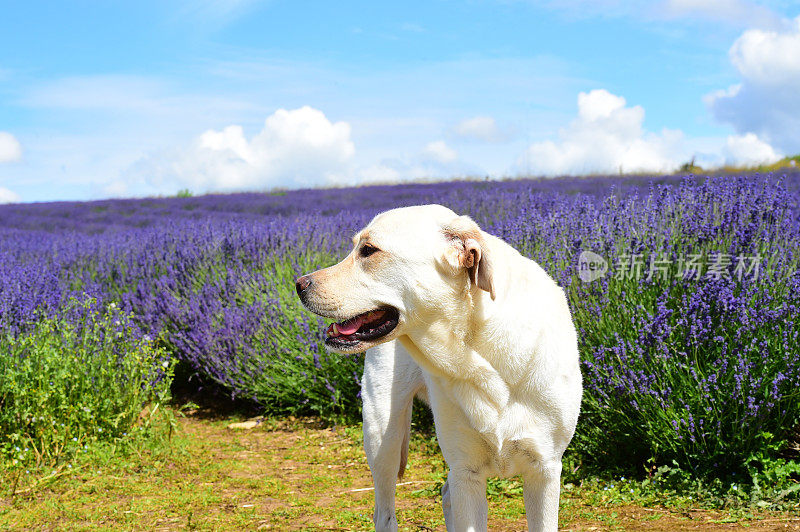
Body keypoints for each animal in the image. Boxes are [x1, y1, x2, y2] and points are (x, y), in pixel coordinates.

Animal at [294, 205, 580, 532]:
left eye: (368, 250)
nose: (299, 285)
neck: (476, 350)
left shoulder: (544, 470)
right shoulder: (466, 471)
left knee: (444, 493)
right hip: (382, 435)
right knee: (385, 512)